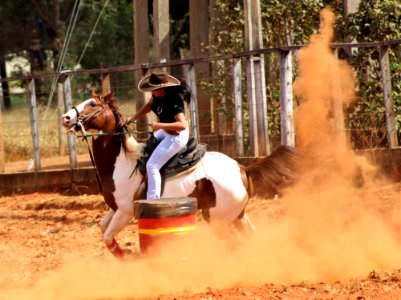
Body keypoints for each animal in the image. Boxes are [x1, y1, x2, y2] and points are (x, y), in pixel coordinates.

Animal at [61, 89, 296, 258]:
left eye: (92, 104)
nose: (65, 117)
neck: (124, 162)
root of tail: (242, 169)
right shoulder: (114, 209)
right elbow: (103, 229)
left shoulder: (125, 212)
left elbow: (108, 236)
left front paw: (128, 256)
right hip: (237, 215)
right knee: (249, 236)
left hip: (217, 219)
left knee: (235, 242)